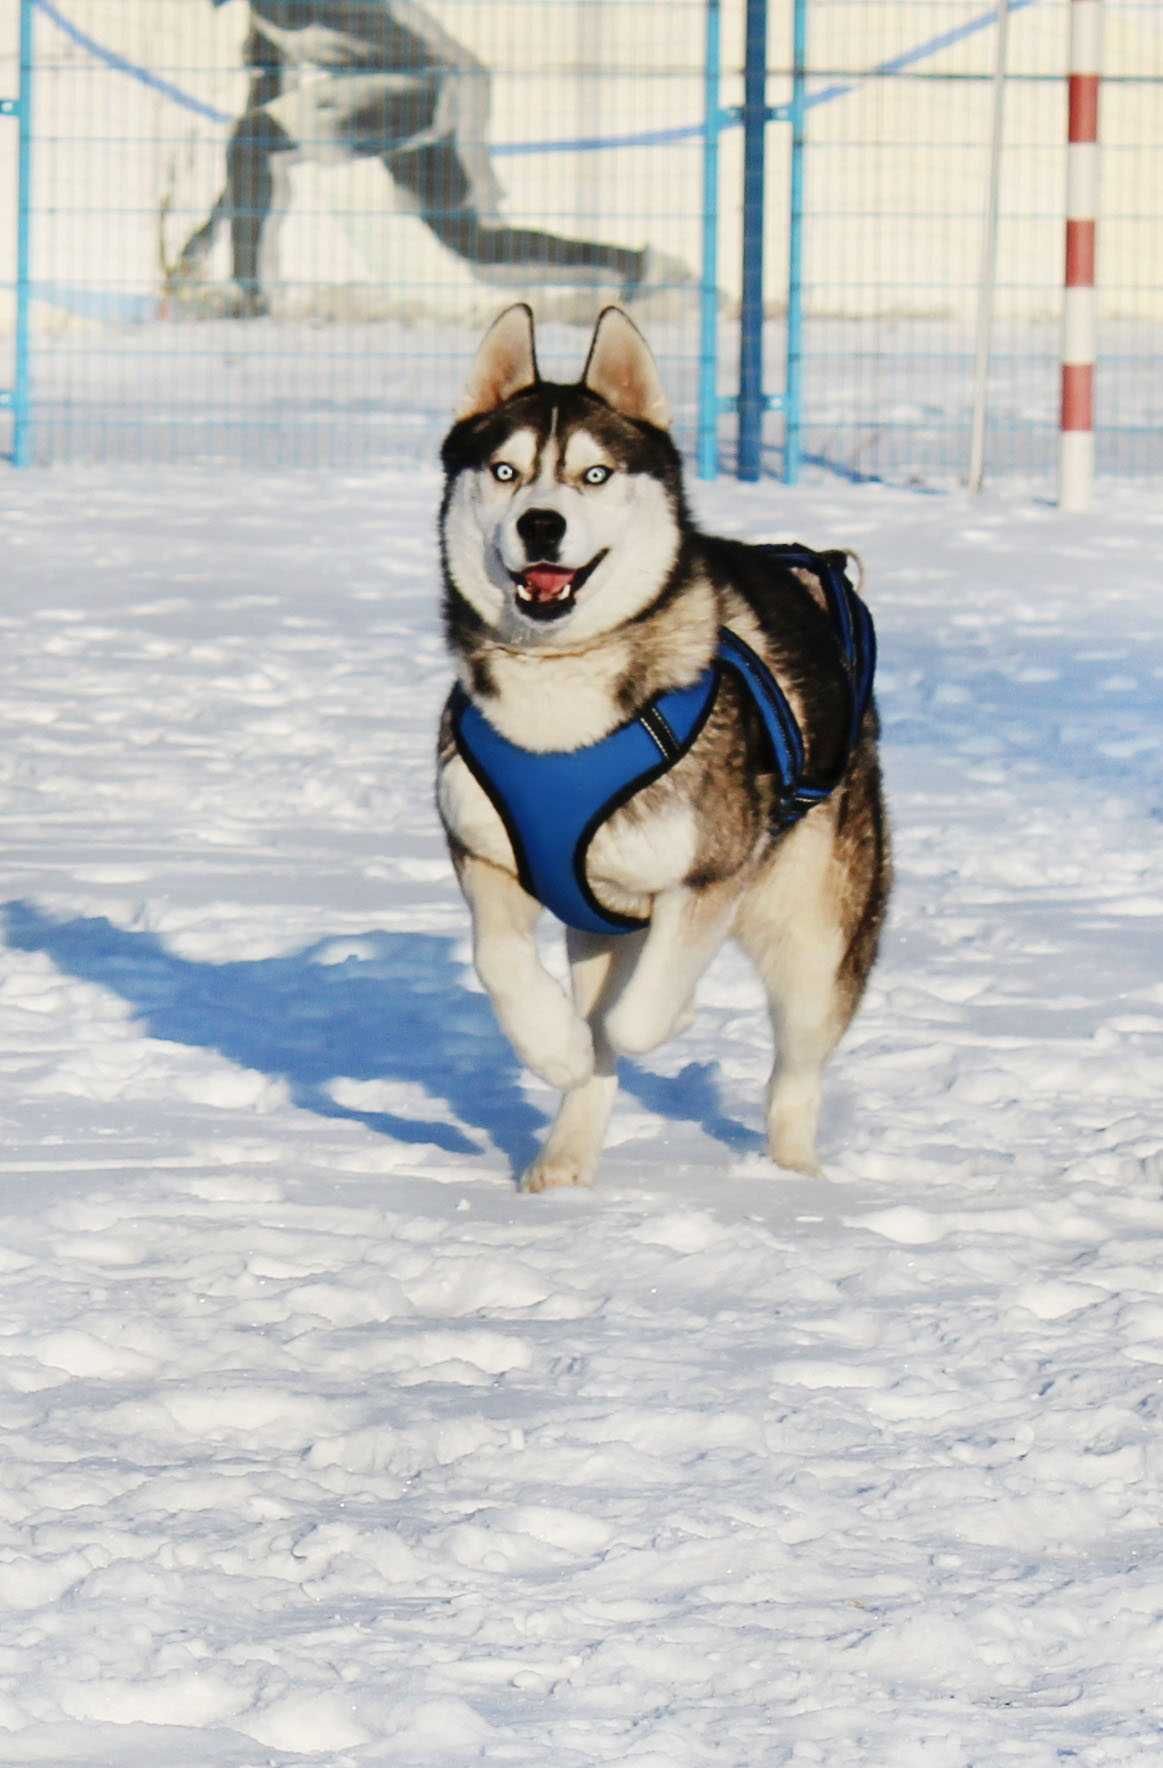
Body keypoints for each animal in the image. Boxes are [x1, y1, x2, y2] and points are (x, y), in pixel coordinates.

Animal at [434, 304, 887, 1195]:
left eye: (595, 475)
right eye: (504, 472)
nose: (541, 524)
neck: (560, 705)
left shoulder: (706, 876)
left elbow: (640, 1016)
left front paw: (668, 1011)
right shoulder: (482, 852)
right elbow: (502, 965)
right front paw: (555, 1048)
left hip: (813, 931)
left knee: (794, 1069)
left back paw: (796, 1185)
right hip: (598, 918)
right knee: (597, 1042)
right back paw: (564, 1157)